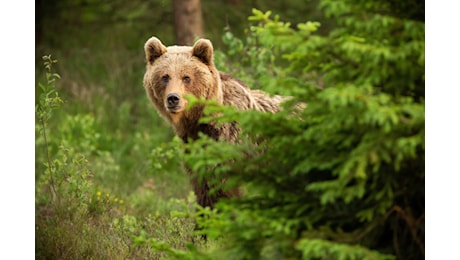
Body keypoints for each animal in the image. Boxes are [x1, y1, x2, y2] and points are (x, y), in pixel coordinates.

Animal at [142, 36, 282, 208]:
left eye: (186, 77)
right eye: (165, 76)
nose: (173, 98)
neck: (199, 121)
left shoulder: (229, 142)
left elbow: (220, 188)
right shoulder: (193, 148)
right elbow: (203, 187)